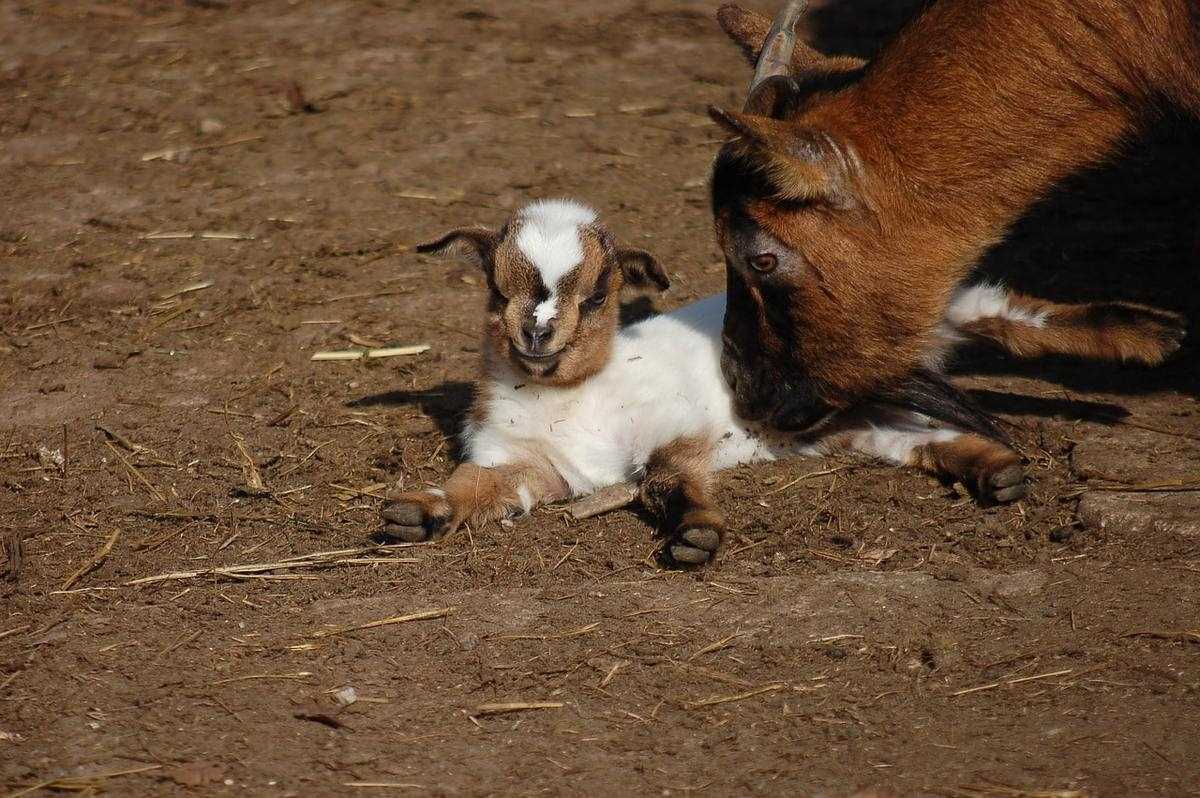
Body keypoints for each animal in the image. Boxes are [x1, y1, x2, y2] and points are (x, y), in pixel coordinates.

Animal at [376, 202, 1099, 568]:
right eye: (497, 291)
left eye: (600, 294)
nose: (537, 337)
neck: (573, 400)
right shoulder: (535, 466)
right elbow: (477, 486)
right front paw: (417, 513)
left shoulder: (675, 432)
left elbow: (664, 479)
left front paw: (697, 536)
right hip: (843, 423)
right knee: (913, 439)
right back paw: (998, 474)